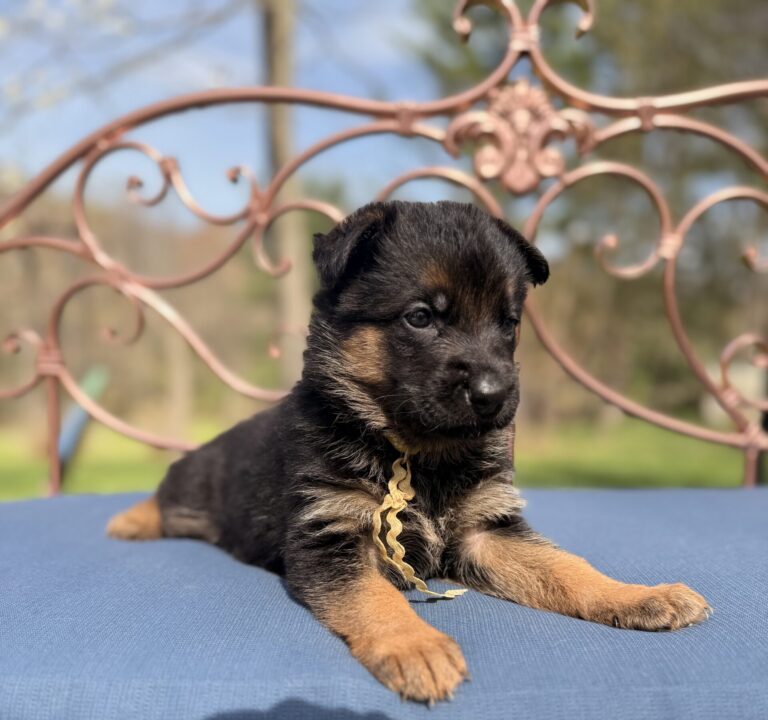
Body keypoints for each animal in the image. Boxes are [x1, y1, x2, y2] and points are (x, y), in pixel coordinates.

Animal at [107, 200, 710, 703]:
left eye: (509, 323)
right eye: (421, 317)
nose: (494, 396)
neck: (417, 452)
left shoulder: (486, 530)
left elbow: (567, 567)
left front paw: (637, 595)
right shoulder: (331, 537)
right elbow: (377, 598)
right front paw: (417, 646)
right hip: (195, 481)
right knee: (166, 493)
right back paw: (130, 520)